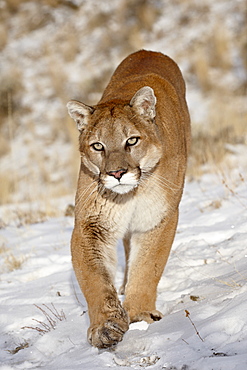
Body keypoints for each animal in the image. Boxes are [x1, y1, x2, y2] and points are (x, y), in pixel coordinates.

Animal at [66, 48, 190, 346]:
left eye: (131, 141)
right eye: (98, 146)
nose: (117, 173)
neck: (131, 195)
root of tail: (149, 51)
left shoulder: (159, 218)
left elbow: (148, 266)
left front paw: (140, 313)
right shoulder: (91, 224)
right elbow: (94, 278)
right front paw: (106, 326)